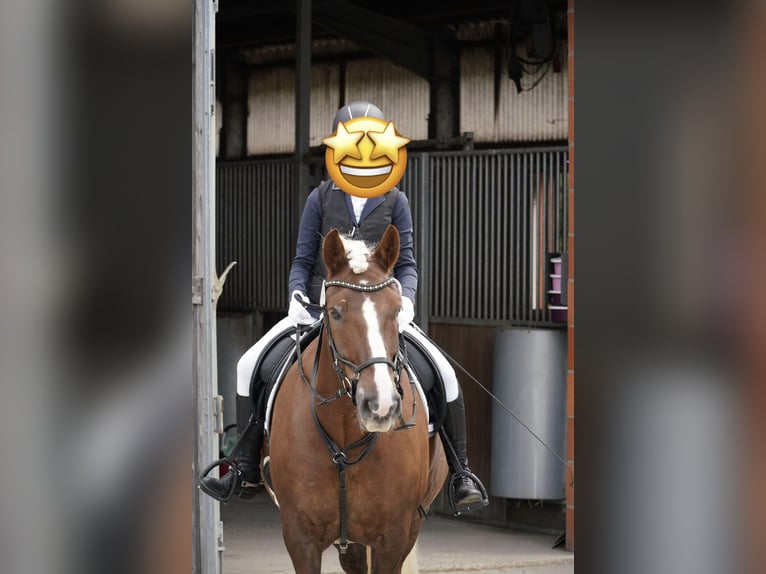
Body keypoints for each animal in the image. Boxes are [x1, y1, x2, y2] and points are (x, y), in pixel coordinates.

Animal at [266, 225, 448, 574]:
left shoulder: (392, 538)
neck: (345, 434)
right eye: (335, 312)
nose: (380, 406)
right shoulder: (299, 537)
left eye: (397, 311)